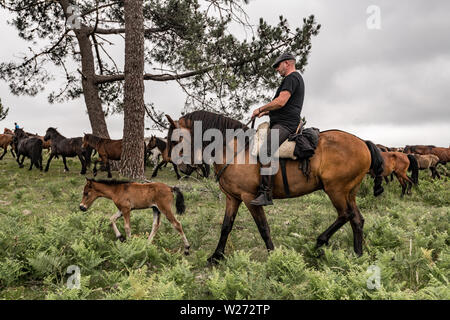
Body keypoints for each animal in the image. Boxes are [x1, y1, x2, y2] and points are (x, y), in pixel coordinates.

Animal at [165, 109, 384, 260]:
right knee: (357, 219)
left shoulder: (249, 198)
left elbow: (263, 228)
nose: (182, 167)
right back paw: (357, 255)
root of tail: (363, 142)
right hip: (349, 192)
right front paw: (216, 256)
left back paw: (319, 242)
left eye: (176, 140)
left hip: (335, 190)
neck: (234, 149)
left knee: (345, 215)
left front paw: (273, 256)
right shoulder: (232, 198)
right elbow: (226, 226)